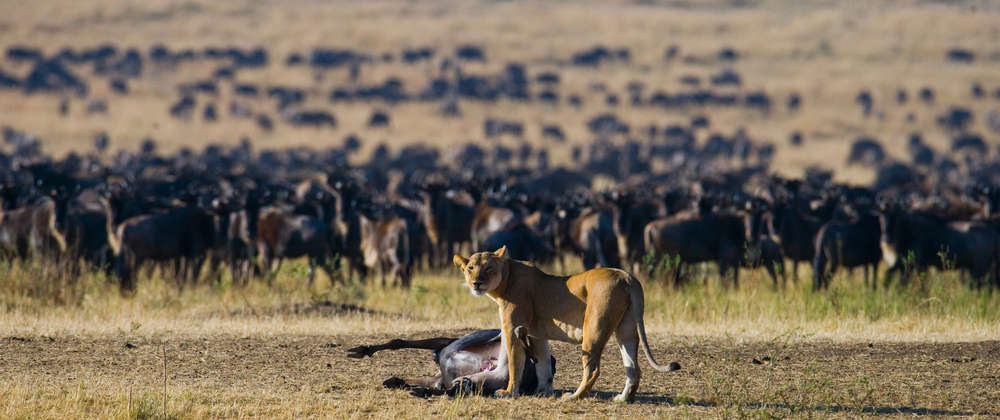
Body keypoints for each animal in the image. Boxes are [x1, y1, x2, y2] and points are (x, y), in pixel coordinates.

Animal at [453, 246, 681, 403]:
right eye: (470, 268)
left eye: (488, 268)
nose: (476, 283)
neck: (505, 279)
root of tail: (627, 276)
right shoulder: (535, 334)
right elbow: (543, 366)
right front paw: (543, 392)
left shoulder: (512, 328)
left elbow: (515, 364)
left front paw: (509, 393)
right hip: (627, 329)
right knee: (634, 368)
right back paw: (623, 399)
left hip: (594, 329)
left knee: (593, 370)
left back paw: (573, 397)